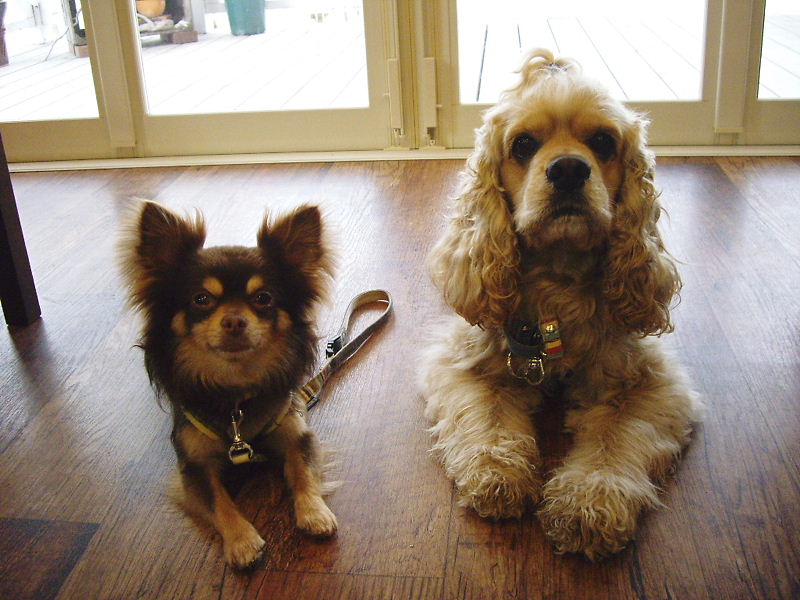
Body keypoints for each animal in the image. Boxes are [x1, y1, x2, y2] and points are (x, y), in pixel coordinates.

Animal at [120, 200, 337, 569]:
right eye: (201, 299)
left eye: (263, 298)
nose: (234, 321)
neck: (236, 390)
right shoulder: (193, 466)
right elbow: (219, 501)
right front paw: (242, 543)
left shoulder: (297, 434)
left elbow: (303, 472)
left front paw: (314, 513)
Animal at [420, 49, 703, 559]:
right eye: (523, 145)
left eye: (603, 142)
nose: (569, 170)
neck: (558, 274)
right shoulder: (463, 365)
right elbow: (488, 416)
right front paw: (499, 475)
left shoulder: (652, 384)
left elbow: (614, 438)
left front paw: (588, 504)